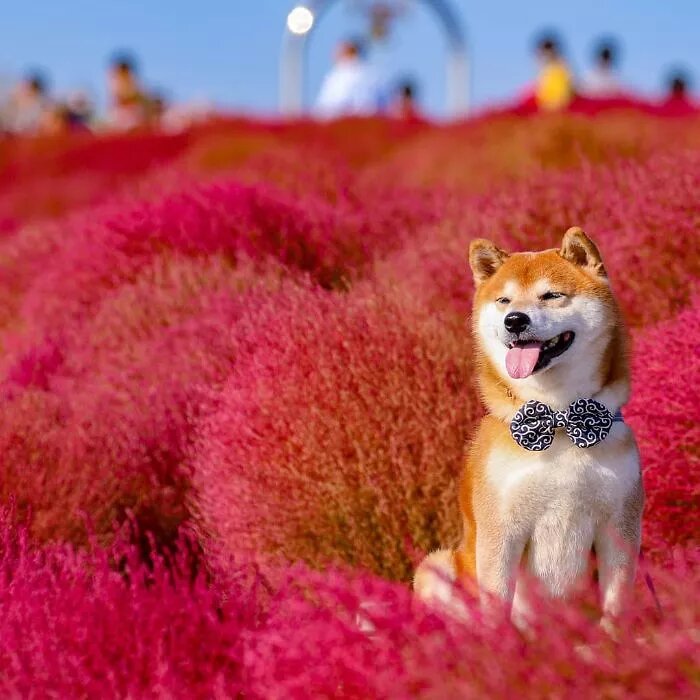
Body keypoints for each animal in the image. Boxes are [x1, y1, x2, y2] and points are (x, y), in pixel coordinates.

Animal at [416, 227, 644, 628]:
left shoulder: (619, 529)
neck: (560, 418)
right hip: (434, 567)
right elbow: (496, 606)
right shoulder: (501, 532)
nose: (515, 320)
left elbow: (615, 607)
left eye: (551, 295)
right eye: (504, 300)